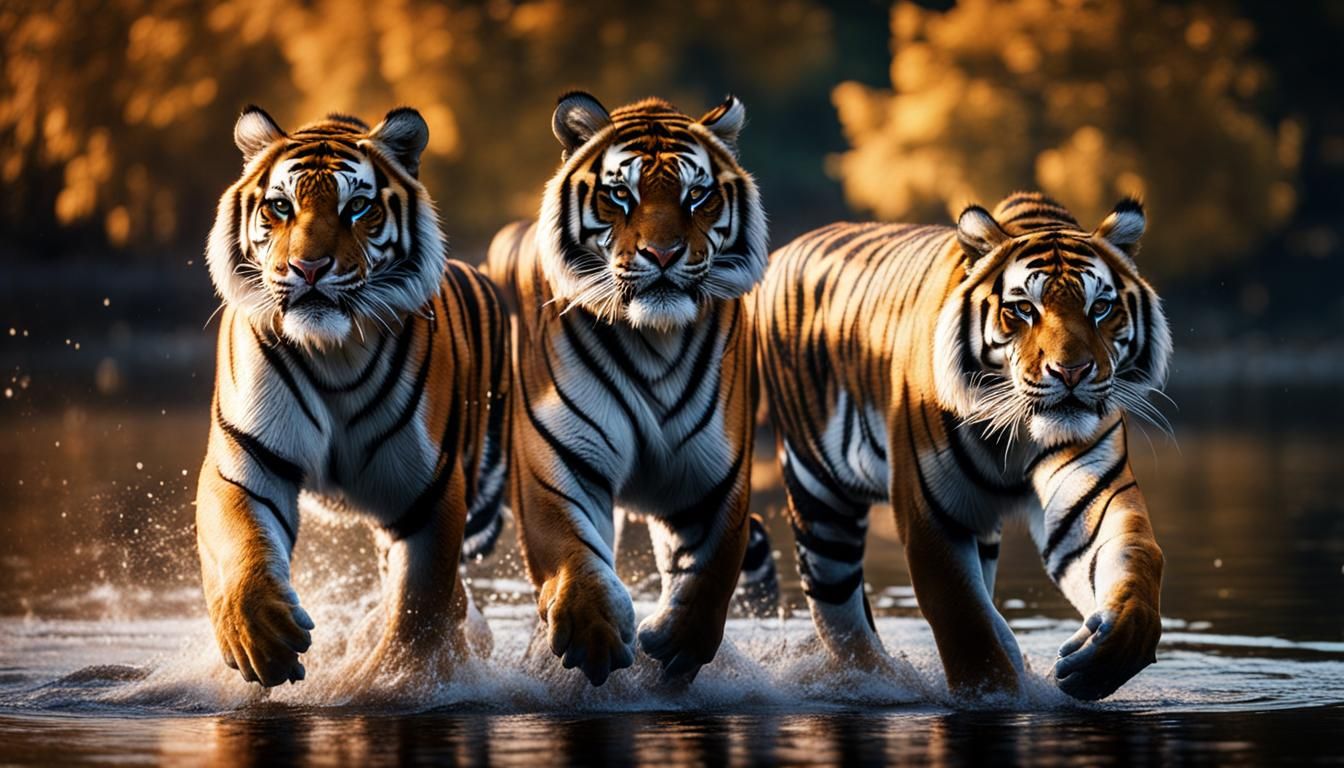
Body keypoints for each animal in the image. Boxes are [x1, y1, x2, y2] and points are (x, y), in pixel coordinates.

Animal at [198, 105, 509, 689]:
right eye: (281, 206)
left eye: (357, 207)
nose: (309, 268)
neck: (331, 351)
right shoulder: (247, 462)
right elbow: (240, 547)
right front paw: (261, 640)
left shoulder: (430, 492)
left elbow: (420, 608)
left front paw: (395, 682)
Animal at [483, 91, 774, 686]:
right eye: (621, 193)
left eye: (696, 195)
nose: (662, 255)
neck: (654, 342)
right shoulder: (557, 463)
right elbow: (573, 553)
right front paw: (591, 634)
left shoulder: (716, 475)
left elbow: (714, 570)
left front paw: (678, 642)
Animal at [756, 192, 1171, 701]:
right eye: (1023, 309)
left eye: (1100, 308)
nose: (1071, 372)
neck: (1016, 431)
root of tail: (784, 250)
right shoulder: (929, 515)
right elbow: (964, 623)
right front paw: (993, 696)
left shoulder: (1092, 489)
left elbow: (1138, 558)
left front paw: (1101, 658)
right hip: (822, 504)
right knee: (840, 616)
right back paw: (877, 679)